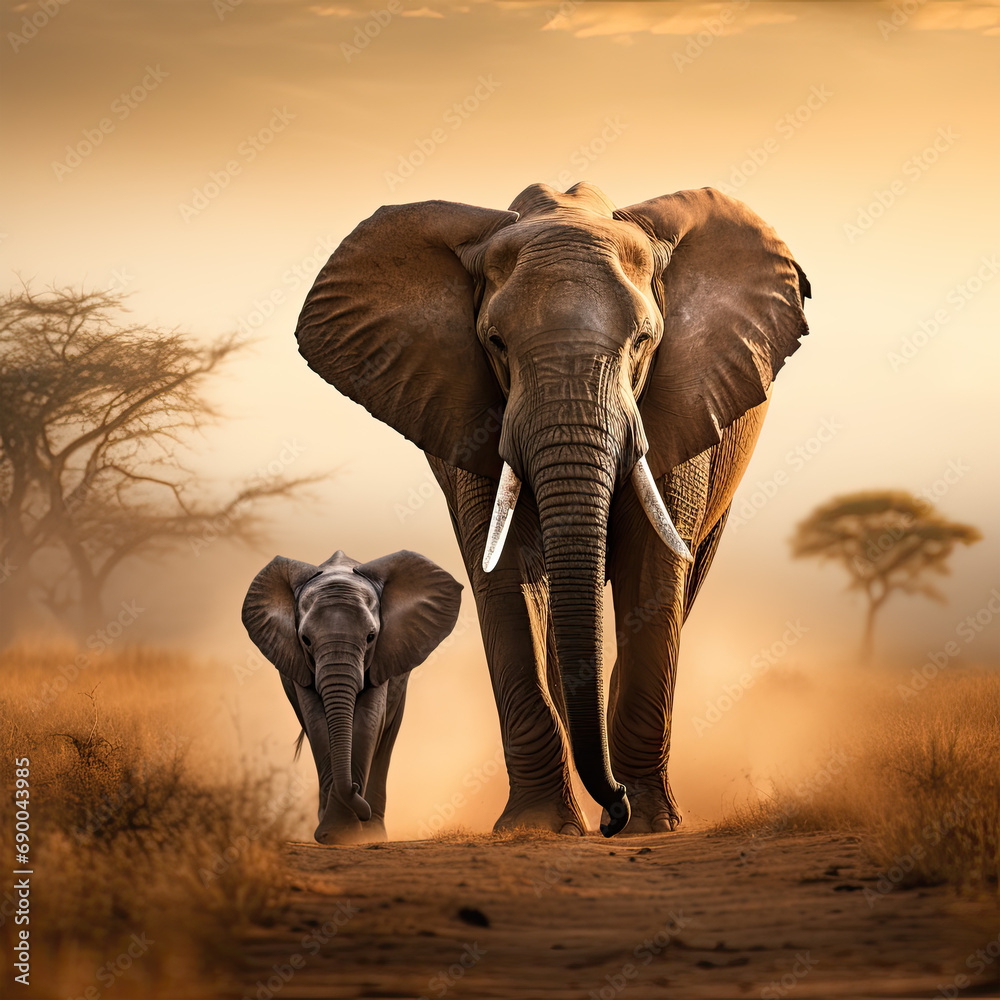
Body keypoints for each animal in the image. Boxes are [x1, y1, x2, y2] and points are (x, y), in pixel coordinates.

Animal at [242, 549, 462, 844]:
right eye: (305, 639)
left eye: (371, 636)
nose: (356, 789)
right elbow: (317, 723)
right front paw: (335, 834)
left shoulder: (383, 656)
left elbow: (368, 721)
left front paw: (346, 834)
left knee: (386, 737)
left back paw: (374, 833)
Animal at [293, 182, 809, 837]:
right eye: (495, 343)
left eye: (643, 342)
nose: (615, 810)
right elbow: (505, 582)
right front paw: (538, 827)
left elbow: (652, 572)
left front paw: (649, 824)